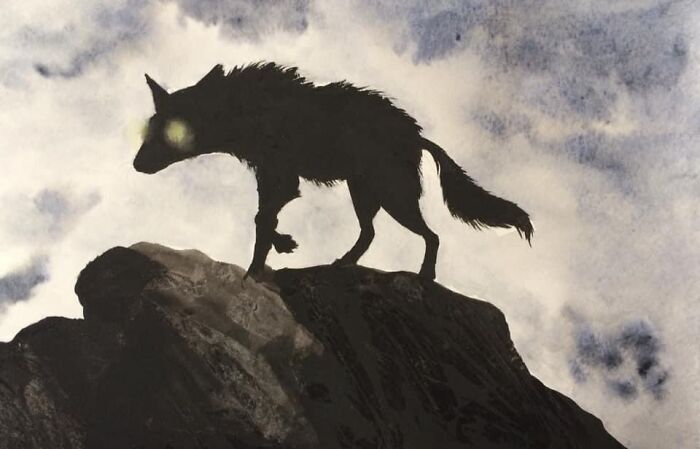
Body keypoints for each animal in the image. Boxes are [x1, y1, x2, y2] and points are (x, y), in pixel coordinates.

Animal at [133, 62, 533, 280]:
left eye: (171, 134)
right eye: (150, 128)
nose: (136, 165)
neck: (246, 111)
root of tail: (419, 137)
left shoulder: (283, 178)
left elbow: (262, 222)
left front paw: (264, 262)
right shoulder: (271, 176)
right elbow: (263, 221)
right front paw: (274, 253)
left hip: (393, 196)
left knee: (431, 236)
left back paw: (424, 276)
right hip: (364, 193)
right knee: (371, 233)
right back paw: (342, 263)